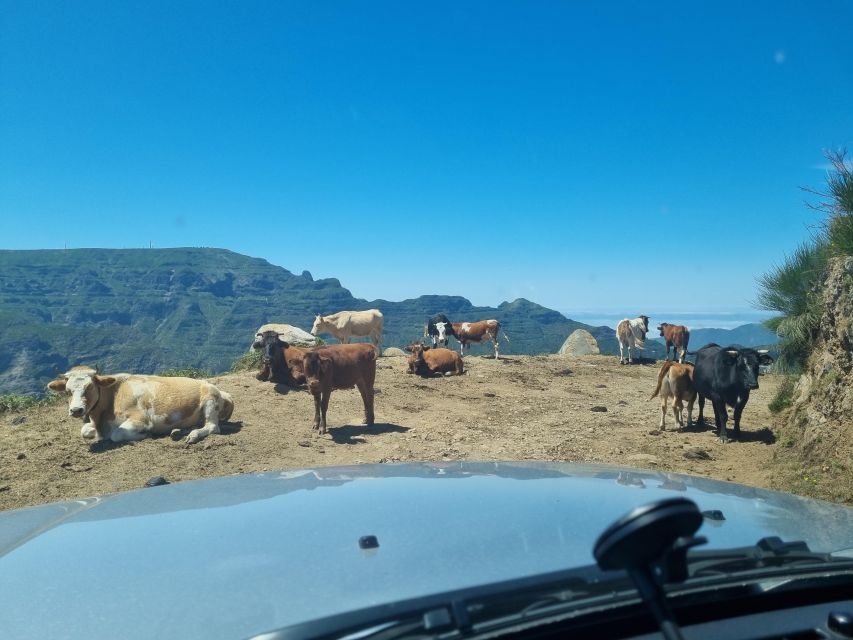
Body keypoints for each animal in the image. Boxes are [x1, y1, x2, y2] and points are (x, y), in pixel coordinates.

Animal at [46, 364, 233, 444]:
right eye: (68, 391)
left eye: (90, 387)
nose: (76, 410)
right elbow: (84, 430)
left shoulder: (140, 419)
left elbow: (117, 434)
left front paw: (145, 434)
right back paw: (178, 431)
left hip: (210, 401)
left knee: (212, 427)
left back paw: (193, 435)